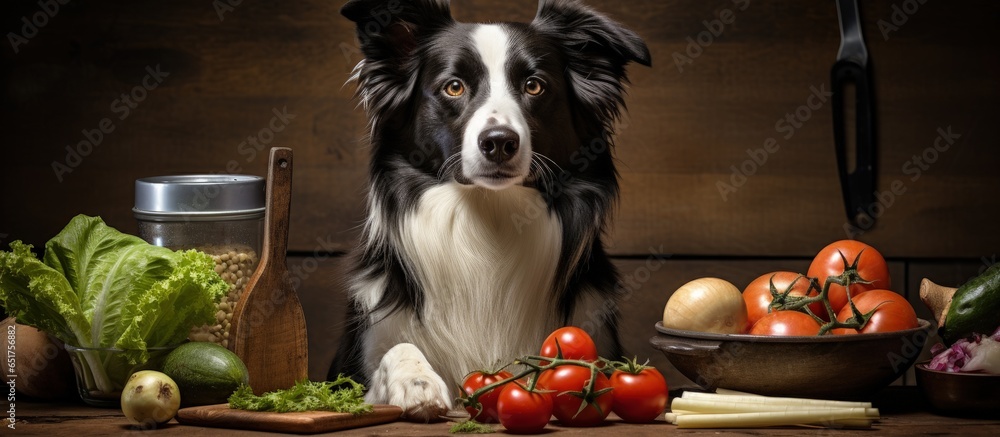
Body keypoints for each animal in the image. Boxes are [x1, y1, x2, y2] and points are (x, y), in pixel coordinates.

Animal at [332, 0, 652, 420]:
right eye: (454, 86)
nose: (499, 142)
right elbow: (396, 349)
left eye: (534, 85)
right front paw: (417, 382)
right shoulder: (358, 358)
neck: (489, 217)